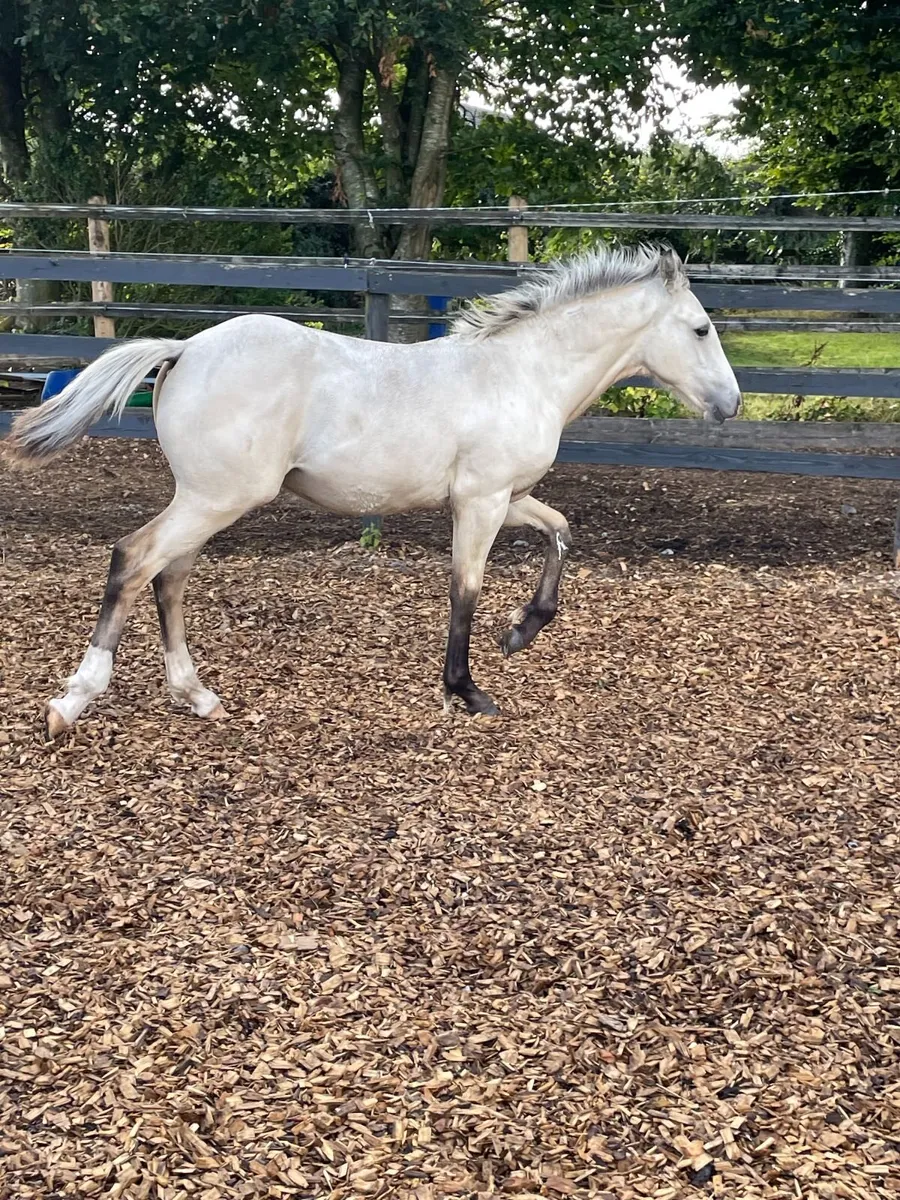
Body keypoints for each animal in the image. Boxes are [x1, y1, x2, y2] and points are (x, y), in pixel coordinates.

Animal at [4, 245, 740, 739]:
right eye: (701, 328)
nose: (731, 404)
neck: (522, 372)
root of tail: (183, 349)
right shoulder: (480, 502)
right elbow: (465, 589)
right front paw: (468, 690)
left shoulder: (508, 496)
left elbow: (561, 532)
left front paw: (522, 631)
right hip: (215, 498)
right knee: (133, 560)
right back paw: (72, 701)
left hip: (206, 501)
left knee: (168, 576)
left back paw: (197, 695)